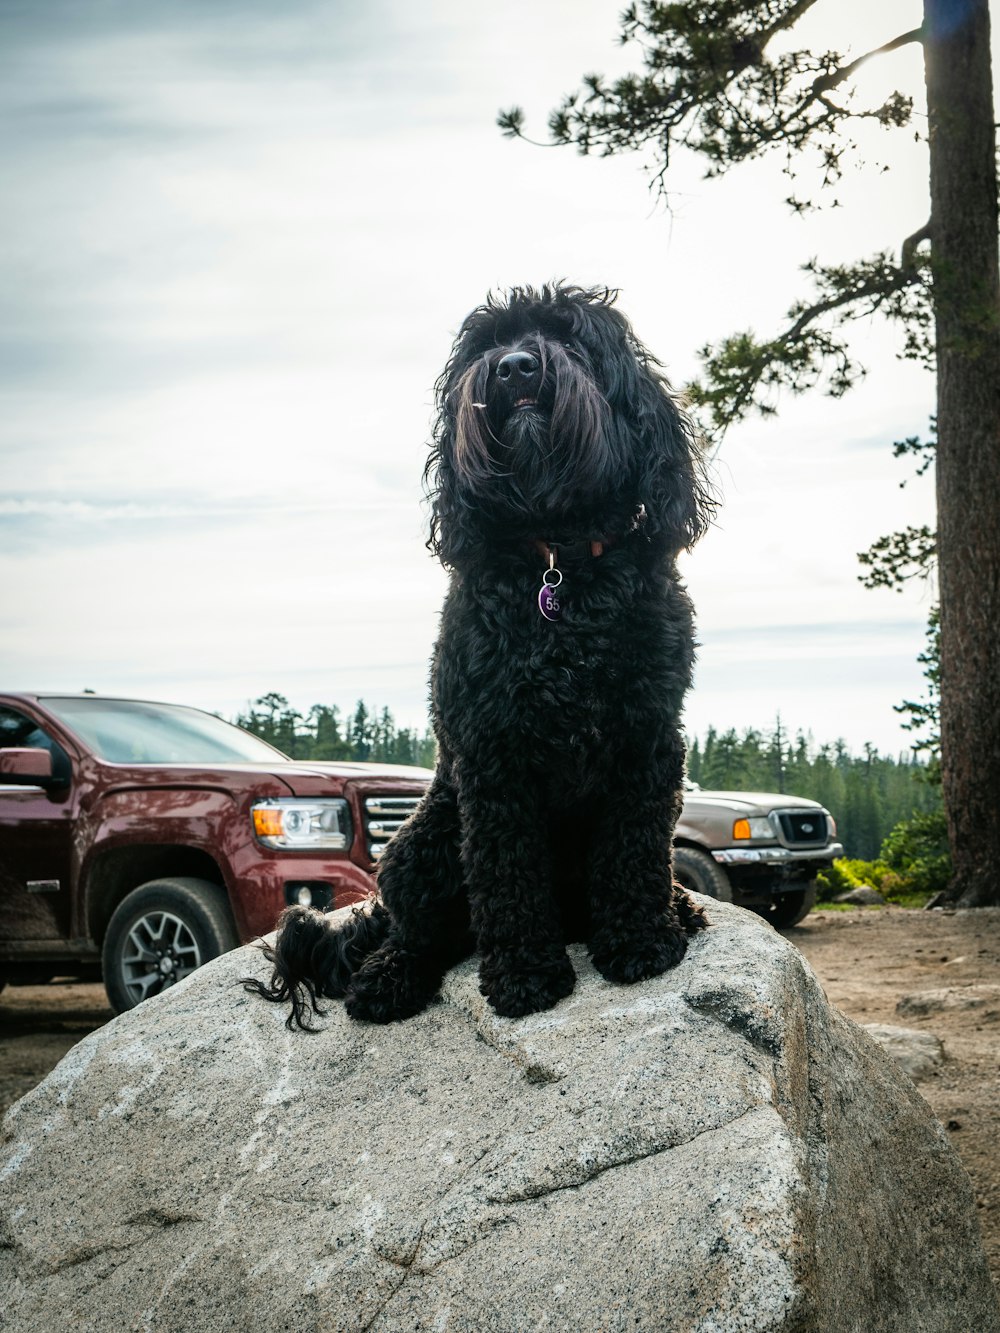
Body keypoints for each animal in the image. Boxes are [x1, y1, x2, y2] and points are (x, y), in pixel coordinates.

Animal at [245, 283, 714, 1029]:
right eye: (487, 345)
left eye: (571, 336)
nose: (516, 367)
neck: (559, 564)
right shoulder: (496, 755)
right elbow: (507, 875)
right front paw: (525, 974)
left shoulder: (646, 739)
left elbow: (636, 850)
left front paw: (641, 939)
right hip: (423, 844)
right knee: (419, 931)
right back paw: (388, 979)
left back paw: (680, 906)